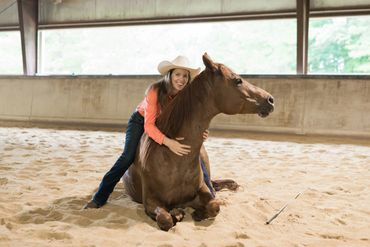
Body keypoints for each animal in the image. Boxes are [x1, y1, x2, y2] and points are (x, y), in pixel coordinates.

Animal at [123, 53, 274, 231]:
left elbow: (215, 205)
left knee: (214, 184)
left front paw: (198, 214)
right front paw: (177, 214)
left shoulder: (202, 190)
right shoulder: (151, 202)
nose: (270, 100)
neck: (172, 159)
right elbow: (165, 219)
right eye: (237, 80)